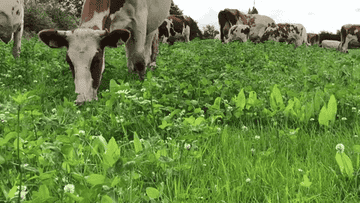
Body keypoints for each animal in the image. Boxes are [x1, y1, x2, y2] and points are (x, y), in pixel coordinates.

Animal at [38, 0, 172, 104]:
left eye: (97, 60)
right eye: (69, 62)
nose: (82, 101)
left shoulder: (140, 18)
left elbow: (139, 60)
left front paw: (142, 85)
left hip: (153, 26)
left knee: (149, 48)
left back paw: (151, 66)